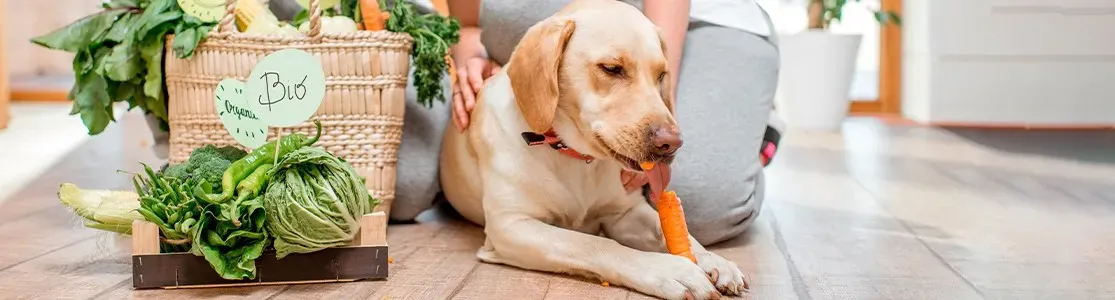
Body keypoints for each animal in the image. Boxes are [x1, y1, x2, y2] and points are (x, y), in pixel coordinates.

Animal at [439, 1, 744, 296]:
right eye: (611, 68)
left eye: (661, 75)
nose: (672, 143)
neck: (575, 158)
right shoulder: (511, 226)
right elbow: (594, 245)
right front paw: (673, 270)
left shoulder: (625, 213)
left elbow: (668, 229)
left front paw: (714, 260)